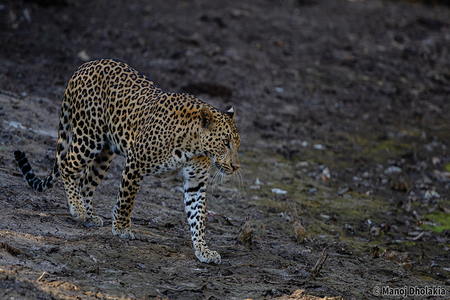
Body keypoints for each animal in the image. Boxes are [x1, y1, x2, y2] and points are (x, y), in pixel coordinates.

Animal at [12, 58, 241, 262]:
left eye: (237, 143)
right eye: (225, 142)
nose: (236, 166)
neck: (194, 147)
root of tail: (83, 67)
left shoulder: (195, 182)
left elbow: (198, 217)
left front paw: (203, 250)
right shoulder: (136, 162)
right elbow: (126, 199)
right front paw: (121, 227)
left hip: (105, 153)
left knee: (85, 182)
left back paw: (89, 216)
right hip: (88, 137)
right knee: (67, 166)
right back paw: (77, 208)